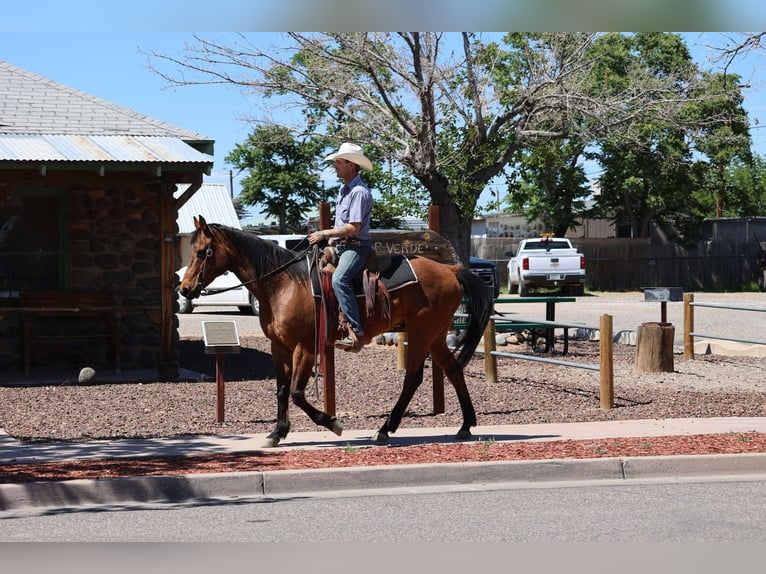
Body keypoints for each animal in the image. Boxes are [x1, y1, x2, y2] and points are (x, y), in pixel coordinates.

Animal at [178, 215, 493, 448]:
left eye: (203, 252)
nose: (184, 289)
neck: (284, 283)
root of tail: (451, 270)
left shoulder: (306, 346)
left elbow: (297, 393)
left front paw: (332, 423)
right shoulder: (279, 346)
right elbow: (282, 389)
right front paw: (277, 432)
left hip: (420, 334)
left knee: (413, 378)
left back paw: (385, 429)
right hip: (435, 335)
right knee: (453, 370)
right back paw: (465, 425)